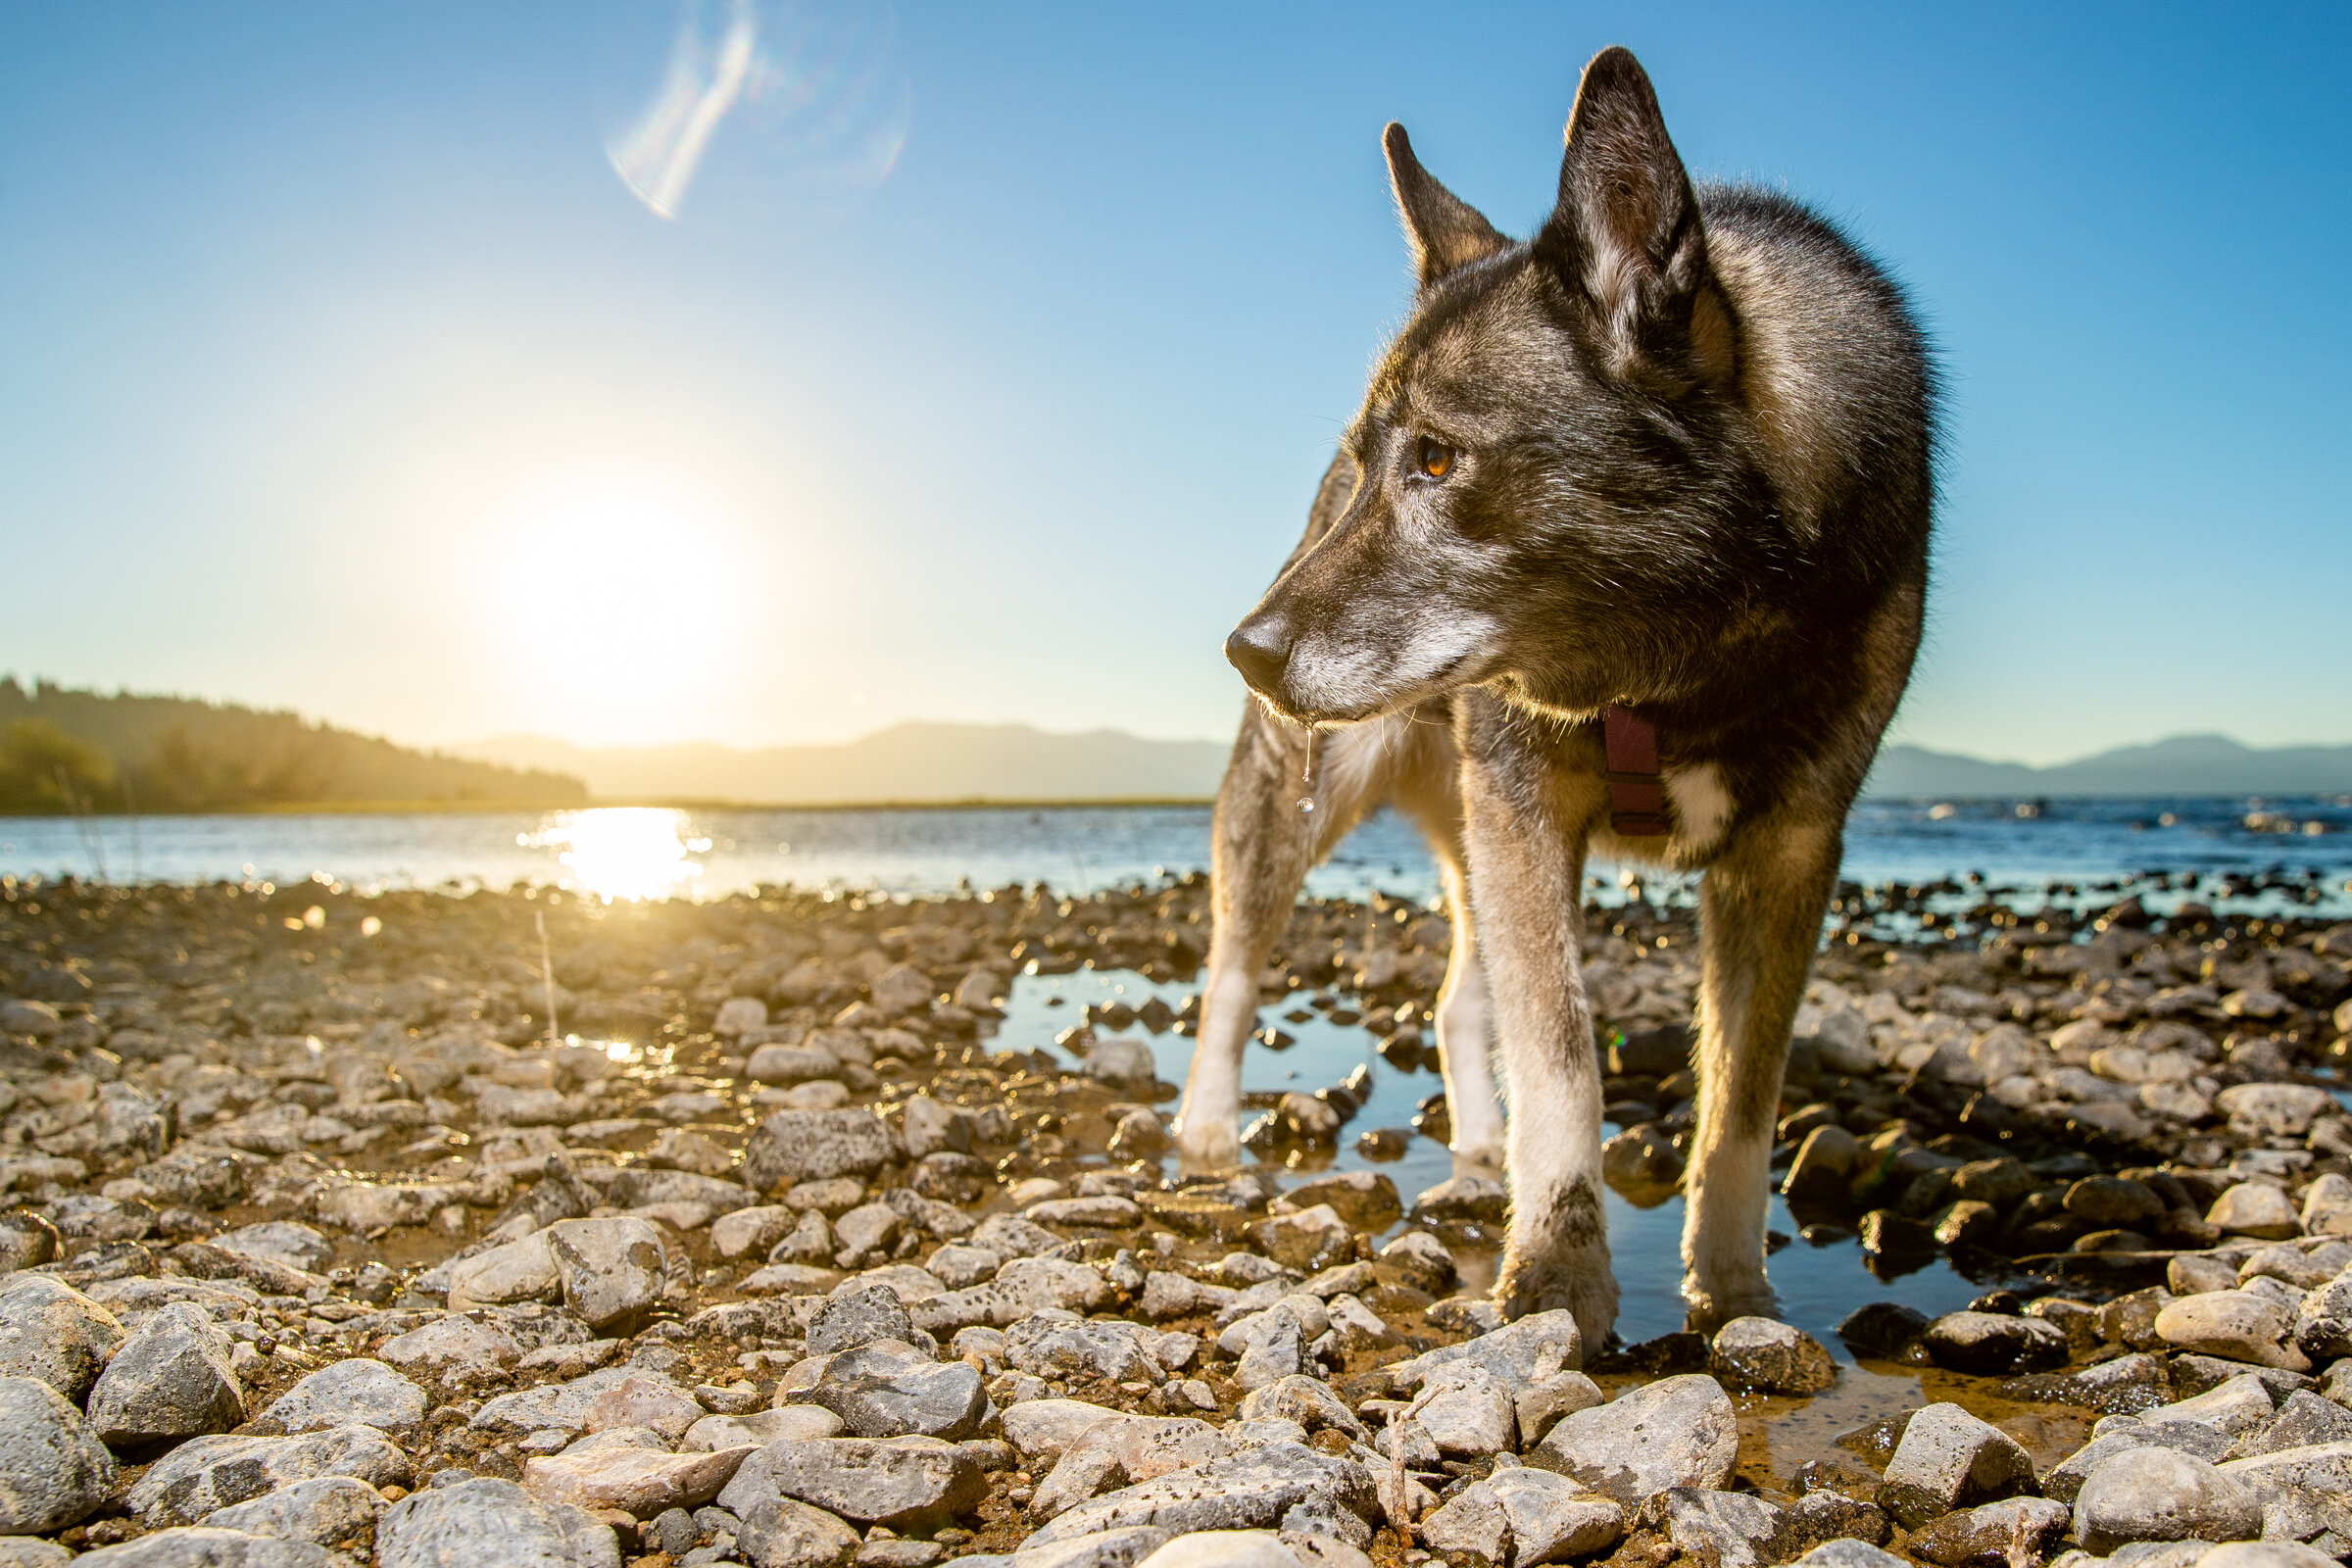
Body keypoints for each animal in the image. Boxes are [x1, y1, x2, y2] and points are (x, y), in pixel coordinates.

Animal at [1171, 49, 1929, 1353]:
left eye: (1437, 460)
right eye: (1369, 467)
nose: (1245, 652)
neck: (1687, 655)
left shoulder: (1787, 855)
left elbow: (1741, 1100)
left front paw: (1734, 1291)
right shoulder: (1531, 811)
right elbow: (1565, 1057)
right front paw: (1558, 1279)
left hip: (1479, 836)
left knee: (1454, 1005)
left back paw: (1483, 1156)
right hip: (1301, 809)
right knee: (1233, 972)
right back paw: (1213, 1130)